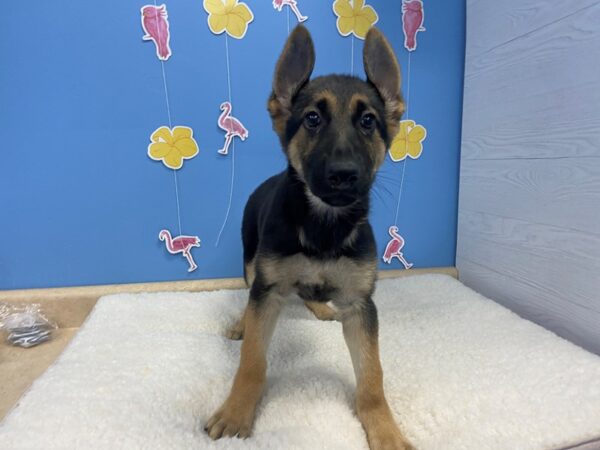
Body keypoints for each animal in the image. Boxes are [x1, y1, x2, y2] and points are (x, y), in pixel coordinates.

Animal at [206, 25, 412, 450]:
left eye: (368, 121)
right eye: (312, 119)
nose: (343, 174)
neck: (324, 225)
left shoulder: (360, 305)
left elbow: (373, 377)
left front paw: (385, 429)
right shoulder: (268, 291)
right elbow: (252, 360)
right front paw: (236, 412)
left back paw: (320, 307)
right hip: (252, 263)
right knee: (250, 296)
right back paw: (242, 323)